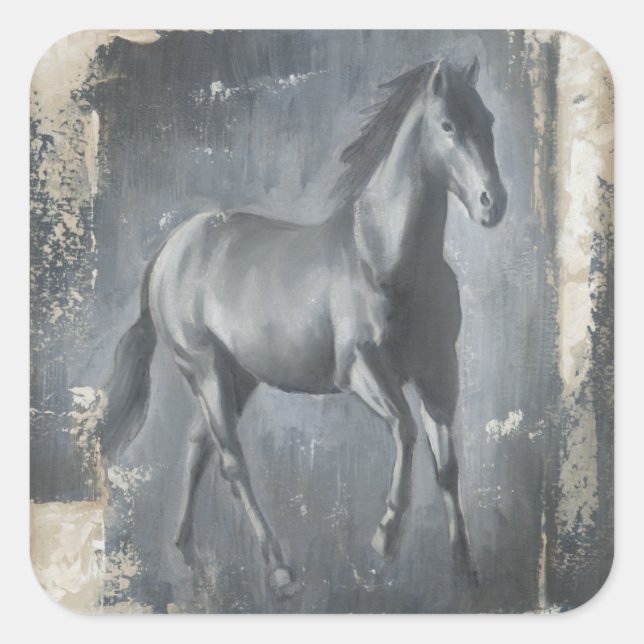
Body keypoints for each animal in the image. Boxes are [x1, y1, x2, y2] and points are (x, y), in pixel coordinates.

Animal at [99, 57, 507, 598]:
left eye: (489, 120)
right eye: (447, 126)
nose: (492, 203)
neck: (388, 258)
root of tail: (170, 249)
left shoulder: (439, 375)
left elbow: (448, 466)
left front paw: (464, 567)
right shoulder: (360, 370)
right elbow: (405, 431)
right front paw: (384, 539)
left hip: (238, 377)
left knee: (198, 448)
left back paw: (185, 548)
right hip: (203, 367)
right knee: (232, 460)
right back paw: (279, 569)